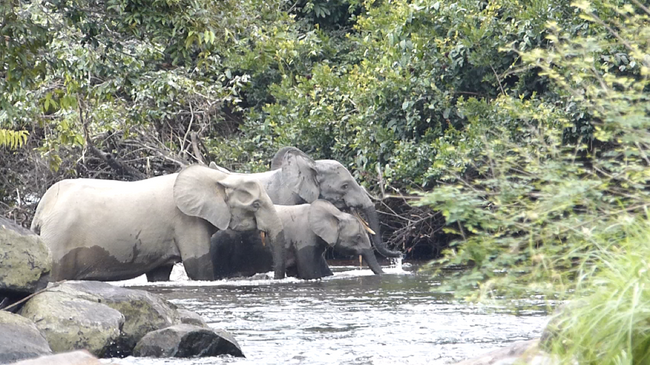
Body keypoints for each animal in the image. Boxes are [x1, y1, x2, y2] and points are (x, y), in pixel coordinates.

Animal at [30, 165, 284, 282]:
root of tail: (41, 211)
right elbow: (198, 267)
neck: (217, 178)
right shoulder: (186, 221)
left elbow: (159, 275)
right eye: (256, 205)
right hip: (59, 240)